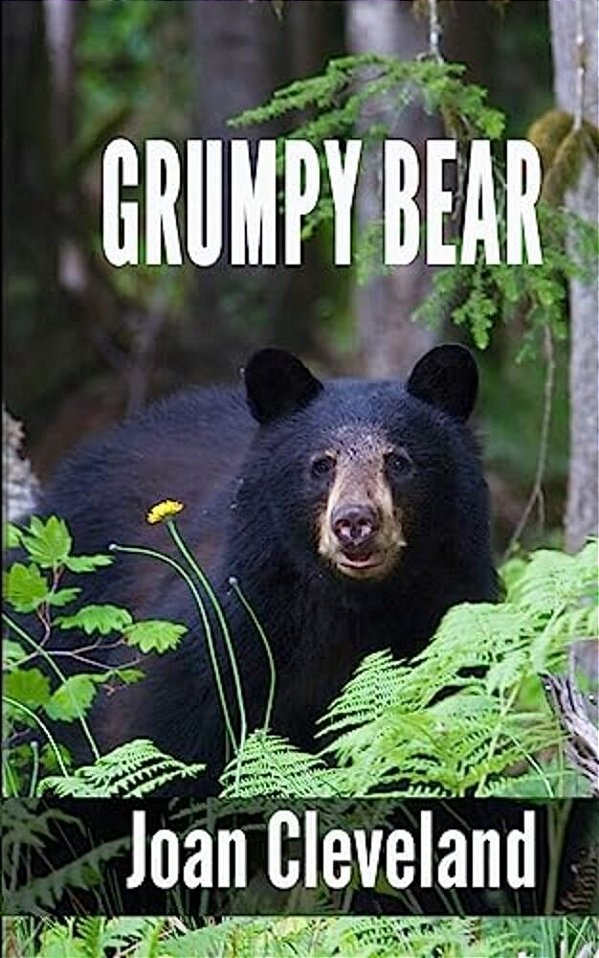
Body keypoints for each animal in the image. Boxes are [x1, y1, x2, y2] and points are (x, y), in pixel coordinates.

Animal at [40, 344, 497, 792]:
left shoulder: (450, 618)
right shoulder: (221, 640)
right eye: (321, 464)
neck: (351, 607)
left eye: (399, 461)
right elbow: (146, 739)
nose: (354, 522)